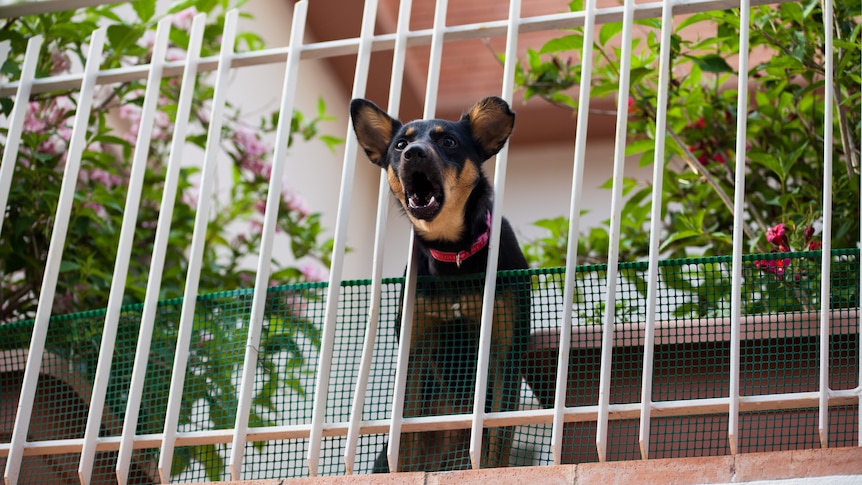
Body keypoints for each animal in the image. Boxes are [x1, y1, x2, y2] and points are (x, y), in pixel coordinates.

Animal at [352, 96, 532, 470]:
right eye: (400, 145)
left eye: (448, 141)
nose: (414, 153)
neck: (453, 253)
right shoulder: (415, 352)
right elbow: (404, 442)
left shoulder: (504, 352)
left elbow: (495, 445)